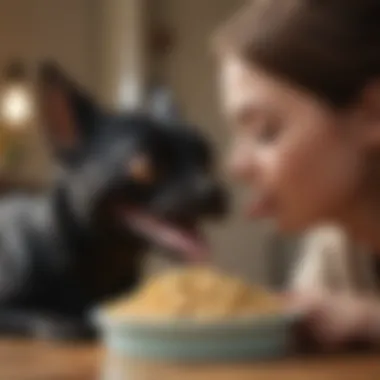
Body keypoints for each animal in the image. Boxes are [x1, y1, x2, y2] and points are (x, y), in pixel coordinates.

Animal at [0, 63, 226, 340]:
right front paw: (59, 320)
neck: (108, 258)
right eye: (143, 167)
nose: (212, 192)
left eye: (205, 159)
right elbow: (38, 317)